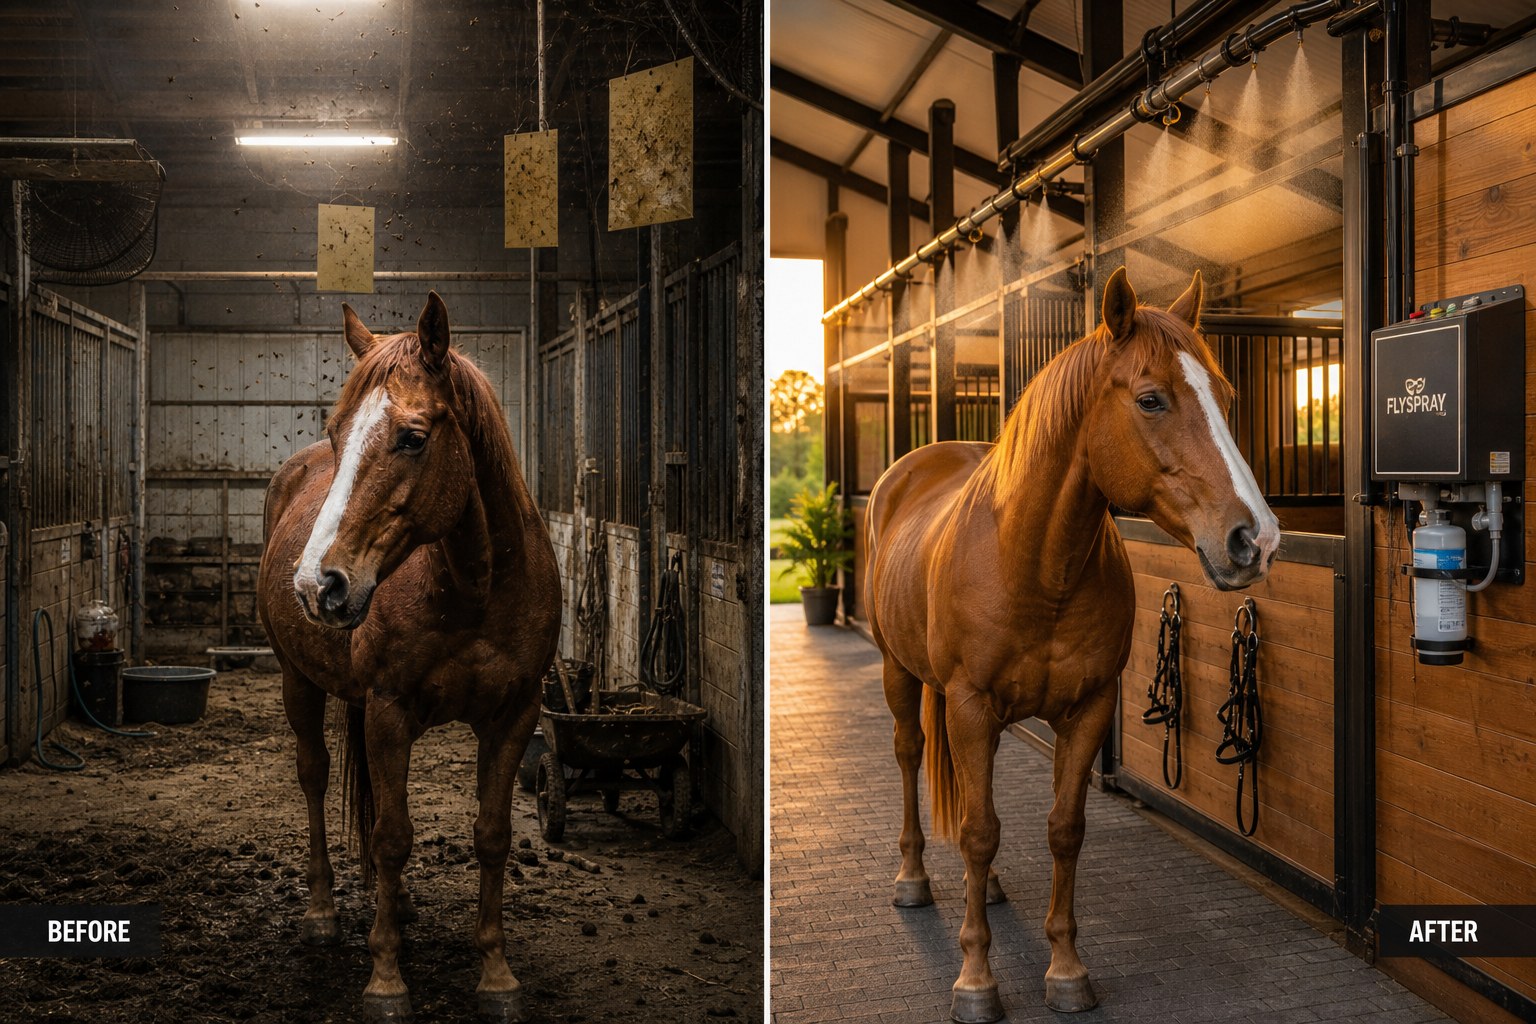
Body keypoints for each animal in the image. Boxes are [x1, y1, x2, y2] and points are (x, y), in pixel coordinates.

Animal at [256, 293, 562, 1022]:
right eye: (337, 433)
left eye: (413, 437)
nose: (317, 585)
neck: (476, 589)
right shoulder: (389, 712)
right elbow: (393, 837)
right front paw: (387, 980)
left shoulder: (514, 715)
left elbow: (492, 835)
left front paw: (497, 975)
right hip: (297, 681)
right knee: (314, 776)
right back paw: (322, 911)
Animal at [864, 267, 1279, 1022]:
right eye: (1150, 399)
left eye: (1228, 397)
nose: (1255, 540)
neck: (1033, 564)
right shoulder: (969, 707)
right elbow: (979, 829)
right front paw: (976, 980)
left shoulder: (1087, 709)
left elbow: (1062, 828)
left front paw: (1065, 969)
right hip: (899, 674)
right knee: (910, 757)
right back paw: (912, 878)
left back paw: (987, 885)